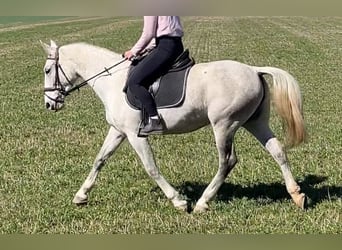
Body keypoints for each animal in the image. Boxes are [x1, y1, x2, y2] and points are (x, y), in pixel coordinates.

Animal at [40, 40, 308, 212]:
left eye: (47, 69)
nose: (49, 104)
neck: (113, 81)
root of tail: (253, 69)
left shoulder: (135, 135)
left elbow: (151, 168)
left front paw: (178, 201)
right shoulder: (118, 131)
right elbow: (100, 160)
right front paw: (80, 196)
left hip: (224, 124)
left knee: (227, 161)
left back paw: (202, 203)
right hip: (255, 123)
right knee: (277, 151)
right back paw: (297, 195)